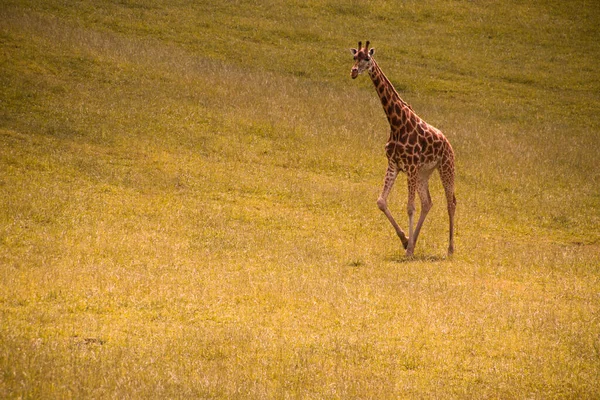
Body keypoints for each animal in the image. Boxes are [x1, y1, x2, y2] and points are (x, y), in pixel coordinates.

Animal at [350, 40, 458, 256]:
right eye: (354, 56)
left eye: (367, 58)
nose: (354, 71)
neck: (396, 123)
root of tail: (448, 143)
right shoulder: (395, 164)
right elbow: (381, 201)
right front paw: (405, 240)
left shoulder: (410, 166)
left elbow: (410, 207)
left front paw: (408, 249)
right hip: (424, 173)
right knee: (428, 203)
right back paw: (413, 242)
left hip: (446, 167)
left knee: (450, 202)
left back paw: (450, 249)